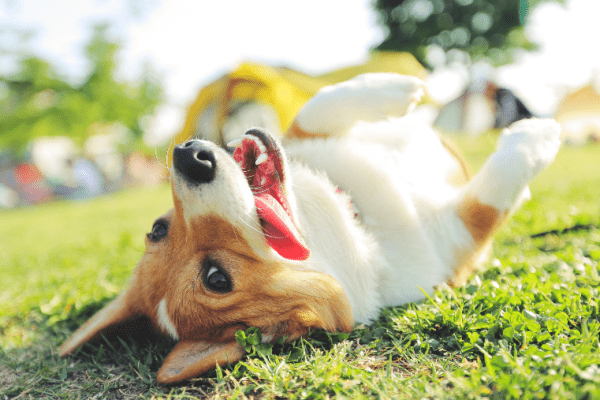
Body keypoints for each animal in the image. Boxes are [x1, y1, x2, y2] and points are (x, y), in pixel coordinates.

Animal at [58, 73, 560, 382]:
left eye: (158, 228)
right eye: (216, 279)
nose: (188, 156)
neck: (356, 216)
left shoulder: (303, 137)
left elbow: (318, 108)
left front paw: (394, 88)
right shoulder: (456, 237)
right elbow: (491, 198)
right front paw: (535, 137)